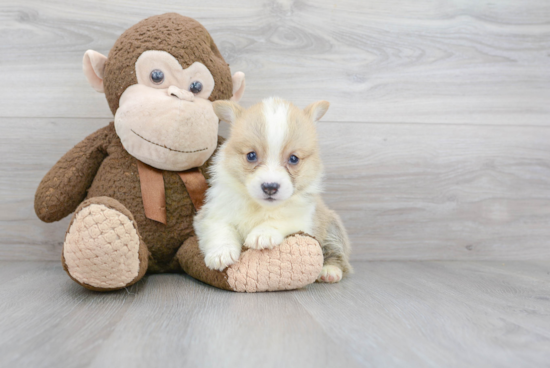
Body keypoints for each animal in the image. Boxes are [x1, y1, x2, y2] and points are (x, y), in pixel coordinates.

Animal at [195, 97, 354, 282]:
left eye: (294, 159)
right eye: (251, 155)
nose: (270, 187)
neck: (259, 206)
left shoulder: (303, 219)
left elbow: (279, 219)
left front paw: (263, 233)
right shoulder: (212, 215)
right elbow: (221, 230)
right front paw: (221, 253)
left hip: (333, 227)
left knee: (336, 253)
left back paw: (329, 270)